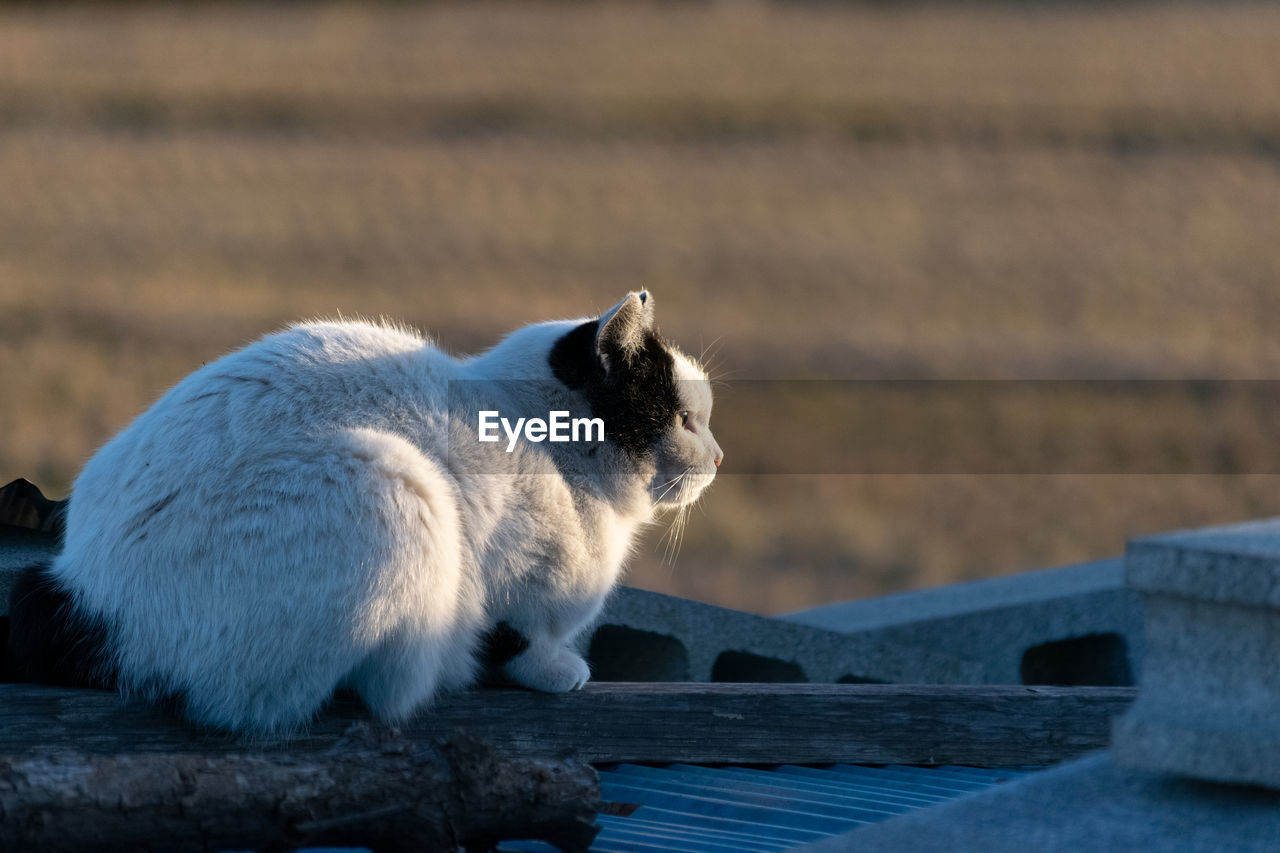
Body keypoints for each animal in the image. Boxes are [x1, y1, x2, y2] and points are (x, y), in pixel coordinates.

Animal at [7, 290, 721, 732]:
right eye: (686, 419)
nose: (718, 457)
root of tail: (85, 598)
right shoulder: (506, 576)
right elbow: (514, 637)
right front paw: (553, 669)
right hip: (397, 482)